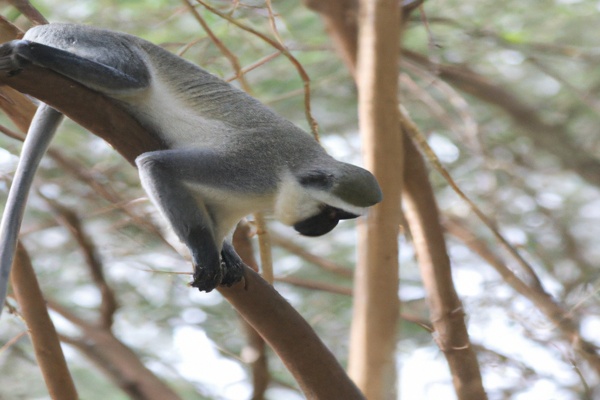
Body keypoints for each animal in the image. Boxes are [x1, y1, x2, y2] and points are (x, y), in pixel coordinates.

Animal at [0, 24, 384, 312]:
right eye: (332, 213)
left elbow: (219, 220)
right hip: (88, 41)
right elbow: (157, 165)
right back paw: (29, 51)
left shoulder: (237, 199)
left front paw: (227, 251)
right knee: (135, 77)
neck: (286, 181)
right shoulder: (250, 170)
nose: (325, 227)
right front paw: (206, 255)